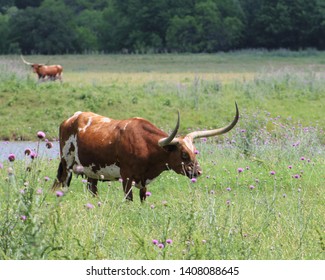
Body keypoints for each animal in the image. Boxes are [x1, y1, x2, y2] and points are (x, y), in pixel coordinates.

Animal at [51, 103, 238, 201]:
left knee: (93, 190)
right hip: (67, 165)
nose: (198, 171)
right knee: (62, 184)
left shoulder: (143, 181)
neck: (147, 146)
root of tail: (71, 118)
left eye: (195, 152)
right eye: (184, 154)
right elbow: (129, 200)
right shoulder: (126, 178)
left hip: (92, 172)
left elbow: (142, 199)